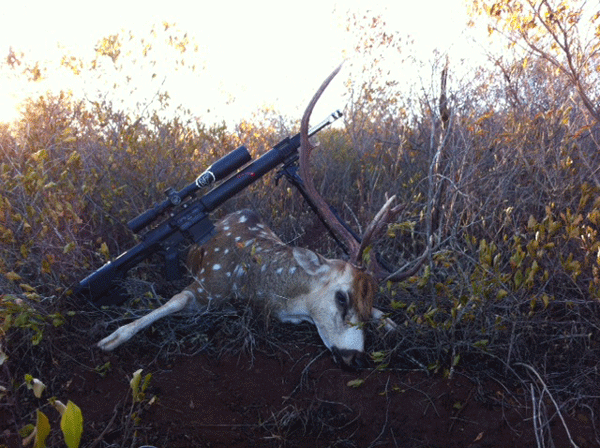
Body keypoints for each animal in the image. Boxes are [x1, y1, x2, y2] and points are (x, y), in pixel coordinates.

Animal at [98, 65, 424, 366]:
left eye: (368, 303)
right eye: (341, 296)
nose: (355, 359)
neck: (259, 286)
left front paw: (392, 322)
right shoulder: (206, 284)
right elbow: (172, 301)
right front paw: (111, 338)